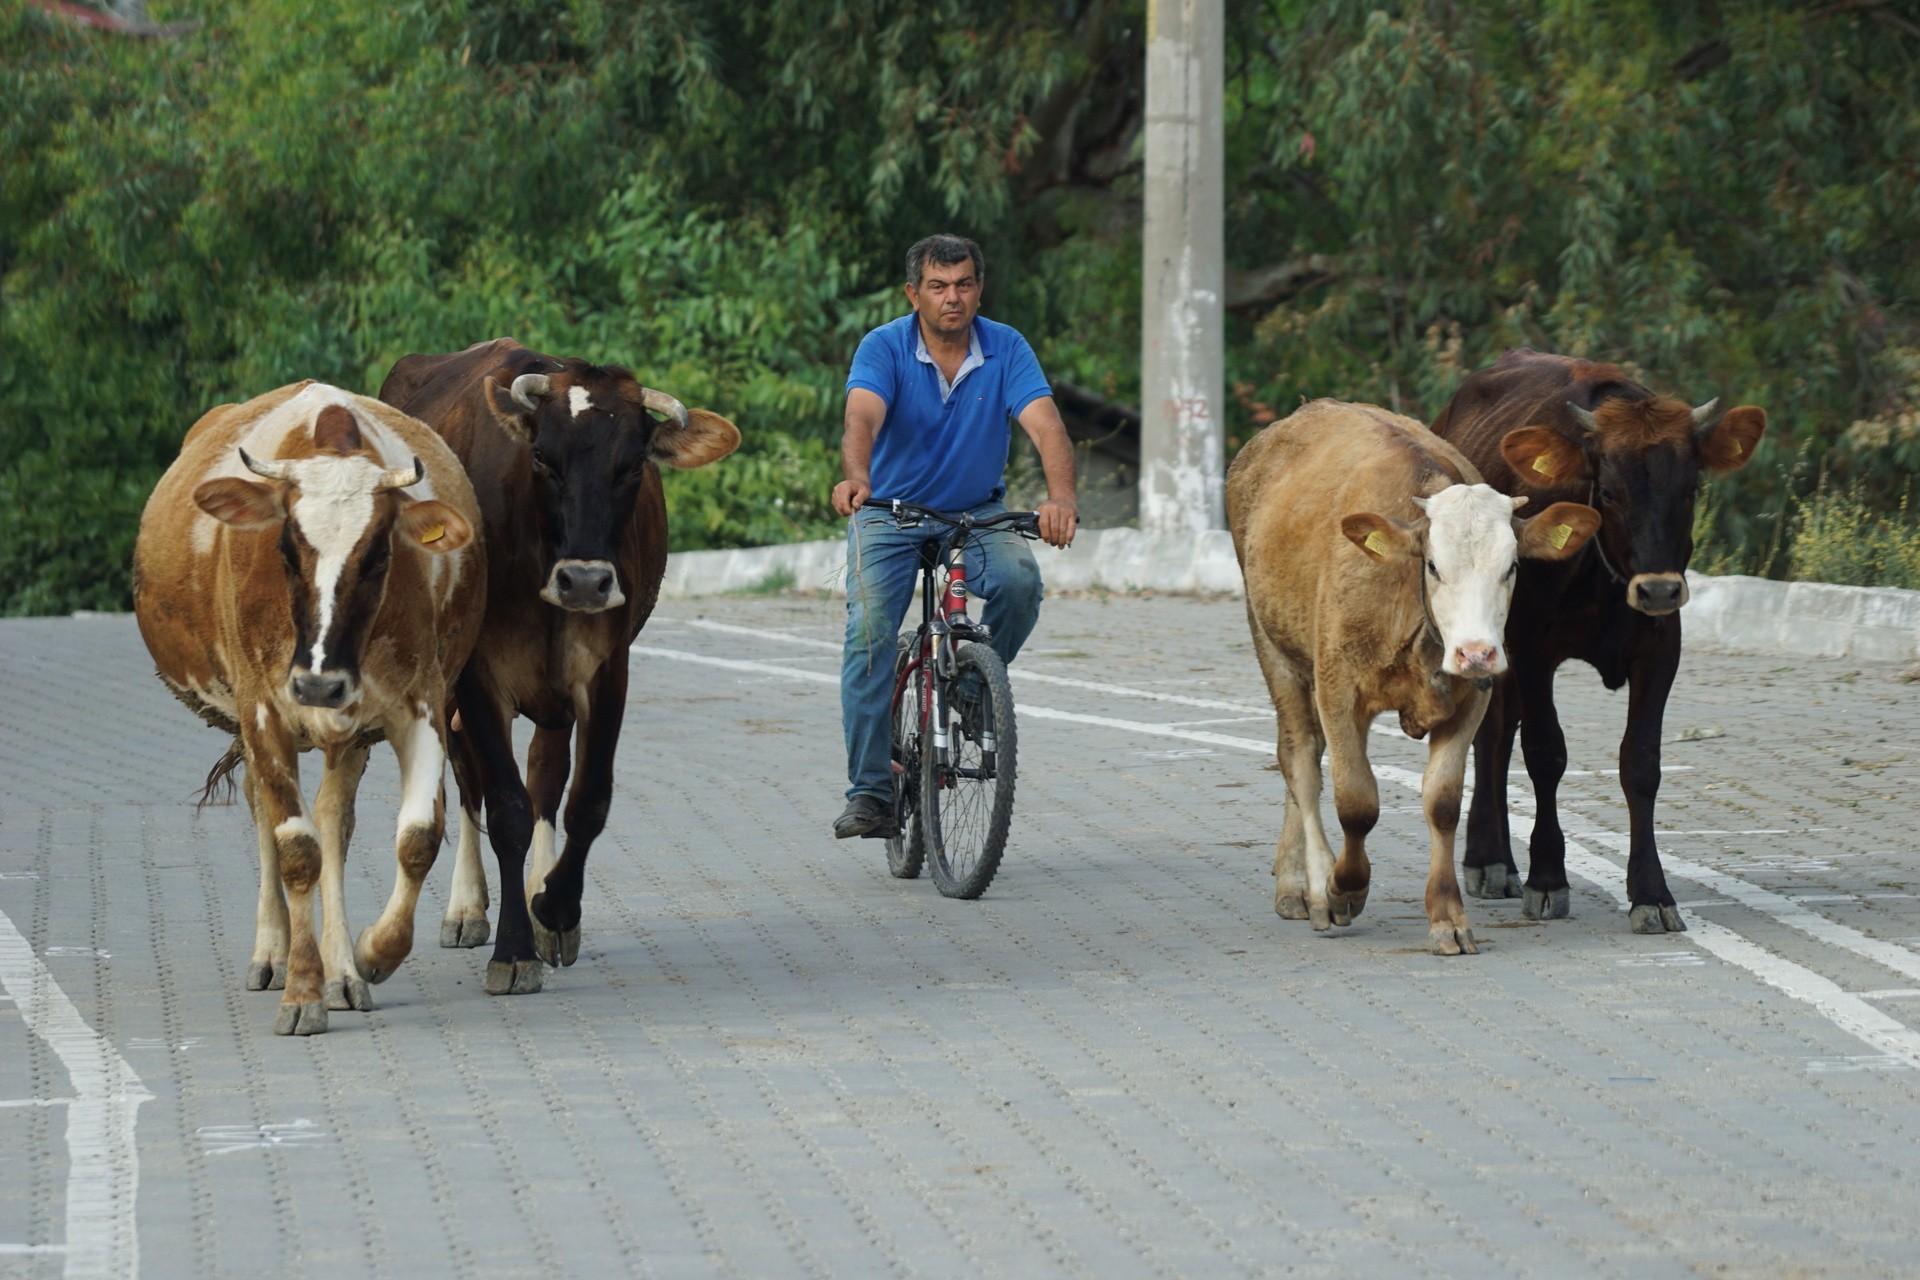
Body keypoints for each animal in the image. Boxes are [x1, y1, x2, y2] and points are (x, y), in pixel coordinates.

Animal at [131, 379, 483, 1028]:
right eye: (286, 549)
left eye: (378, 556)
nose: (320, 685)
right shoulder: (263, 714)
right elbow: (295, 850)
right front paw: (300, 990)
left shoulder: (418, 708)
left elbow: (417, 837)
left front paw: (370, 954)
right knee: (267, 814)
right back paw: (273, 954)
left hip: (348, 735)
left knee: (333, 823)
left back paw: (340, 970)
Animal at [378, 337, 737, 990]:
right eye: (543, 458)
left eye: (633, 465)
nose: (586, 581)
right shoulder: (477, 678)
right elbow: (505, 807)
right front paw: (513, 949)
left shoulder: (605, 671)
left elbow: (586, 798)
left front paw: (554, 908)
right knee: (467, 780)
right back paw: (466, 908)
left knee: (545, 772)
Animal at [1228, 401, 1605, 951]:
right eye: (1433, 566)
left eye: (1511, 567)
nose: (1477, 653)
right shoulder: (1338, 687)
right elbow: (1356, 800)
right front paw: (1342, 889)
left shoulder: (1472, 699)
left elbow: (1443, 801)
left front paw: (1448, 915)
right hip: (1274, 648)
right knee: (1300, 759)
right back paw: (1307, 885)